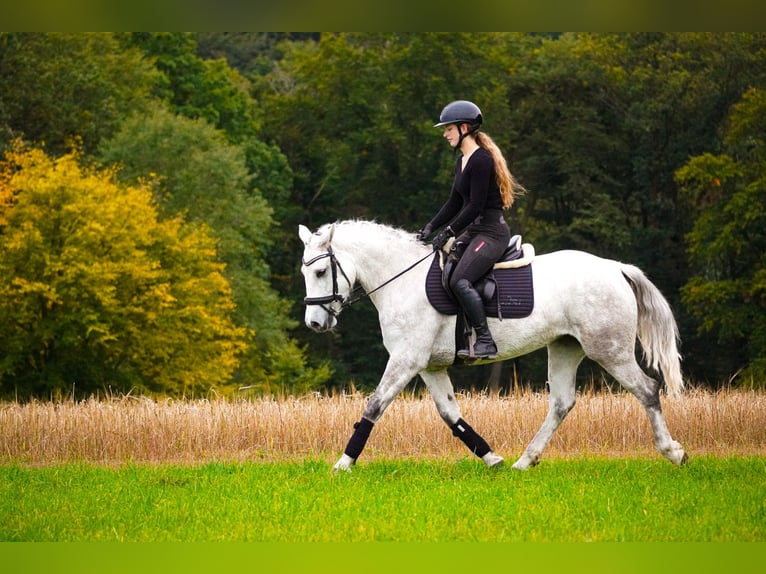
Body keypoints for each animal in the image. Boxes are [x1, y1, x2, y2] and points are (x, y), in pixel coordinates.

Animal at [300, 220, 688, 472]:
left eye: (320, 272)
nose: (315, 324)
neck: (402, 279)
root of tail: (615, 268)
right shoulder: (430, 366)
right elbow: (450, 415)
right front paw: (491, 458)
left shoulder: (406, 360)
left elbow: (374, 406)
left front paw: (344, 463)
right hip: (564, 347)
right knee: (562, 403)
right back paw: (524, 461)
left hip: (610, 350)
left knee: (647, 389)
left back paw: (673, 452)